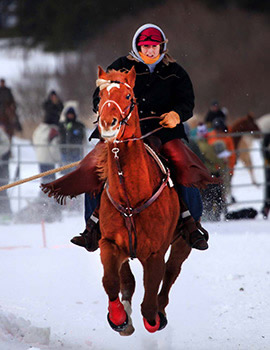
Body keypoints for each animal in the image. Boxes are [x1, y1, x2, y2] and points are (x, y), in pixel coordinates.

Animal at [96, 66, 191, 336]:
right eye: (100, 95)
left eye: (128, 96)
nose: (108, 123)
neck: (131, 198)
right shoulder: (109, 243)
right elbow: (111, 281)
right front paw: (119, 317)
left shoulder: (155, 253)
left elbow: (149, 302)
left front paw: (155, 319)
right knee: (127, 279)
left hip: (182, 244)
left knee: (171, 272)